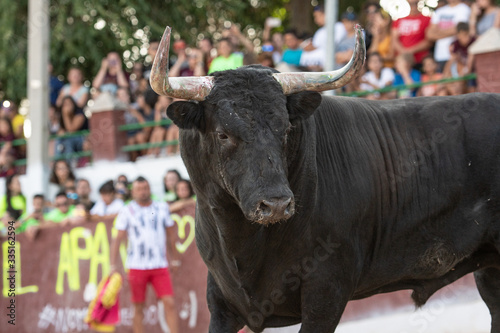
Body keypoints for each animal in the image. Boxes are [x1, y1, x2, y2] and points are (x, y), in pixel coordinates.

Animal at [166, 66, 500, 330]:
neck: (246, 242)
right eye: (223, 134)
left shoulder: (327, 291)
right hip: (489, 271)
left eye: (285, 129)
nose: (275, 204)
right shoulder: (221, 300)